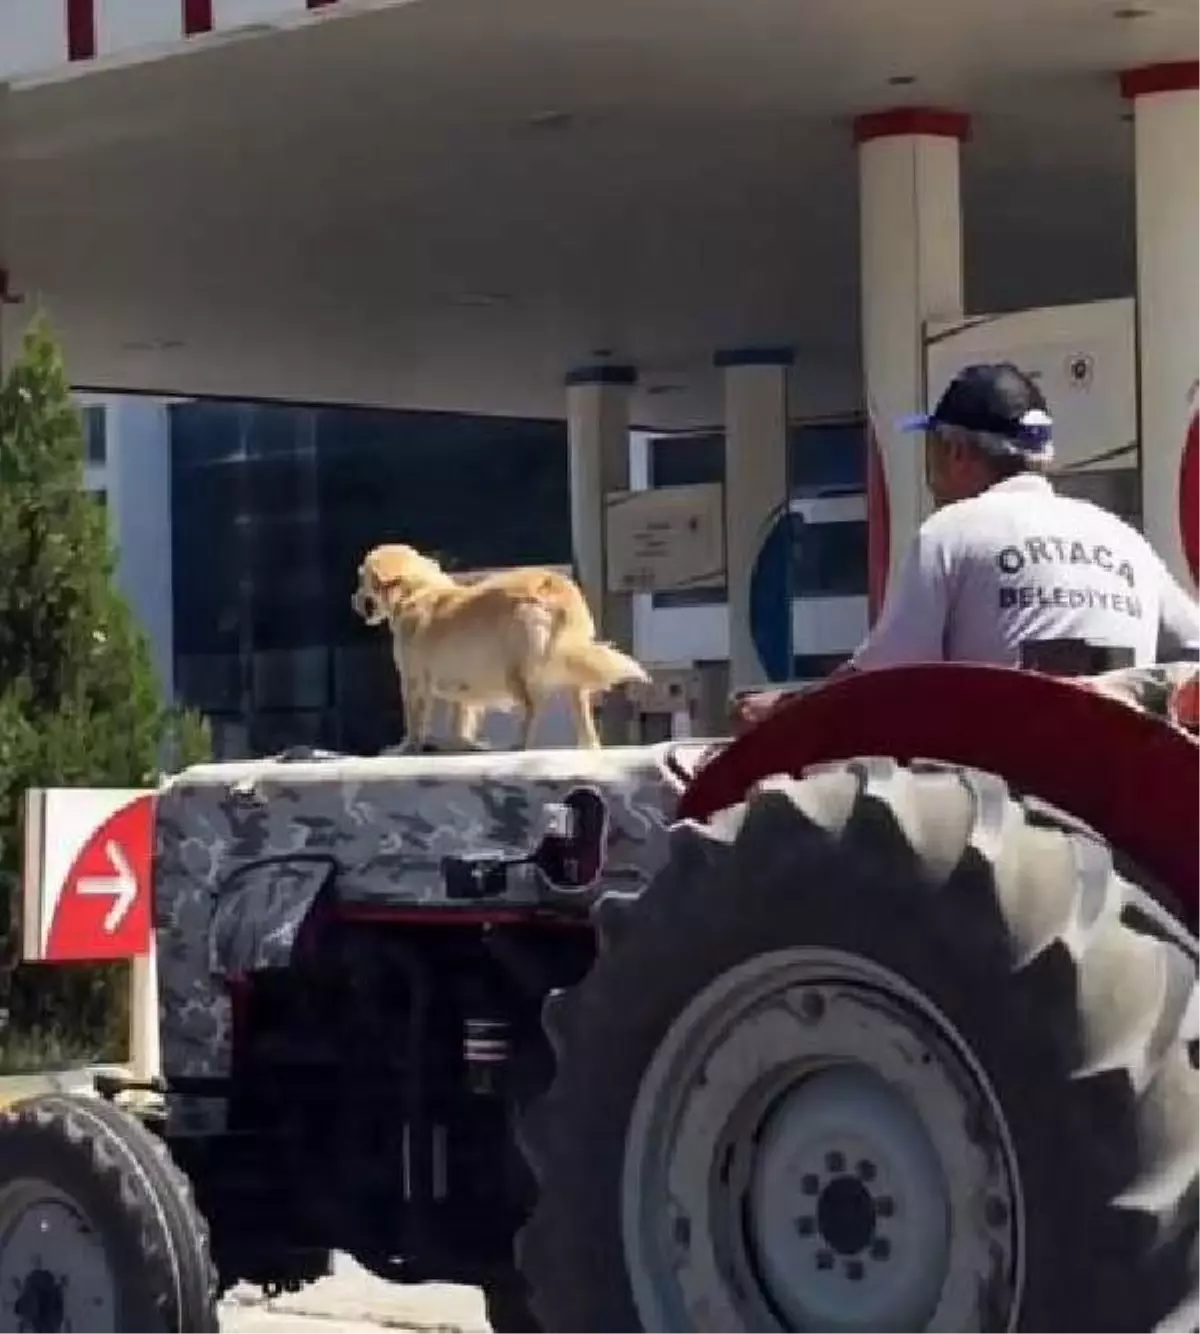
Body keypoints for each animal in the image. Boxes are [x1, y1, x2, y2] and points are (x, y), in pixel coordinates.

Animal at [352, 541, 650, 752]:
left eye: (362, 582)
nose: (353, 599)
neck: (414, 592)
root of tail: (553, 586)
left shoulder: (413, 681)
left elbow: (414, 718)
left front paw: (407, 746)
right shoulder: (461, 687)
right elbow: (461, 716)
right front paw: (463, 743)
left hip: (514, 669)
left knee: (532, 706)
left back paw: (520, 743)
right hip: (570, 672)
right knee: (580, 711)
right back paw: (589, 746)